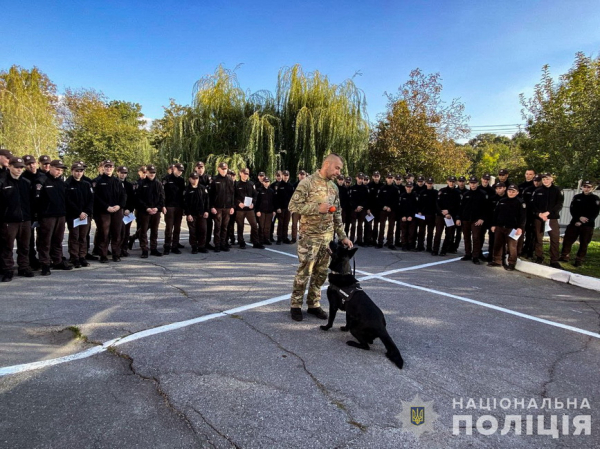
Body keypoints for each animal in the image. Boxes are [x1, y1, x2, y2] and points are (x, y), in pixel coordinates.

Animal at [318, 240, 404, 370]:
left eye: (337, 246)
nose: (332, 240)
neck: (341, 272)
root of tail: (381, 327)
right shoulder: (349, 311)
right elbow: (347, 320)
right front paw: (345, 328)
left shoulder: (333, 305)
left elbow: (331, 320)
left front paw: (326, 327)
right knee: (369, 341)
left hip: (355, 329)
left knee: (366, 346)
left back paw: (352, 343)